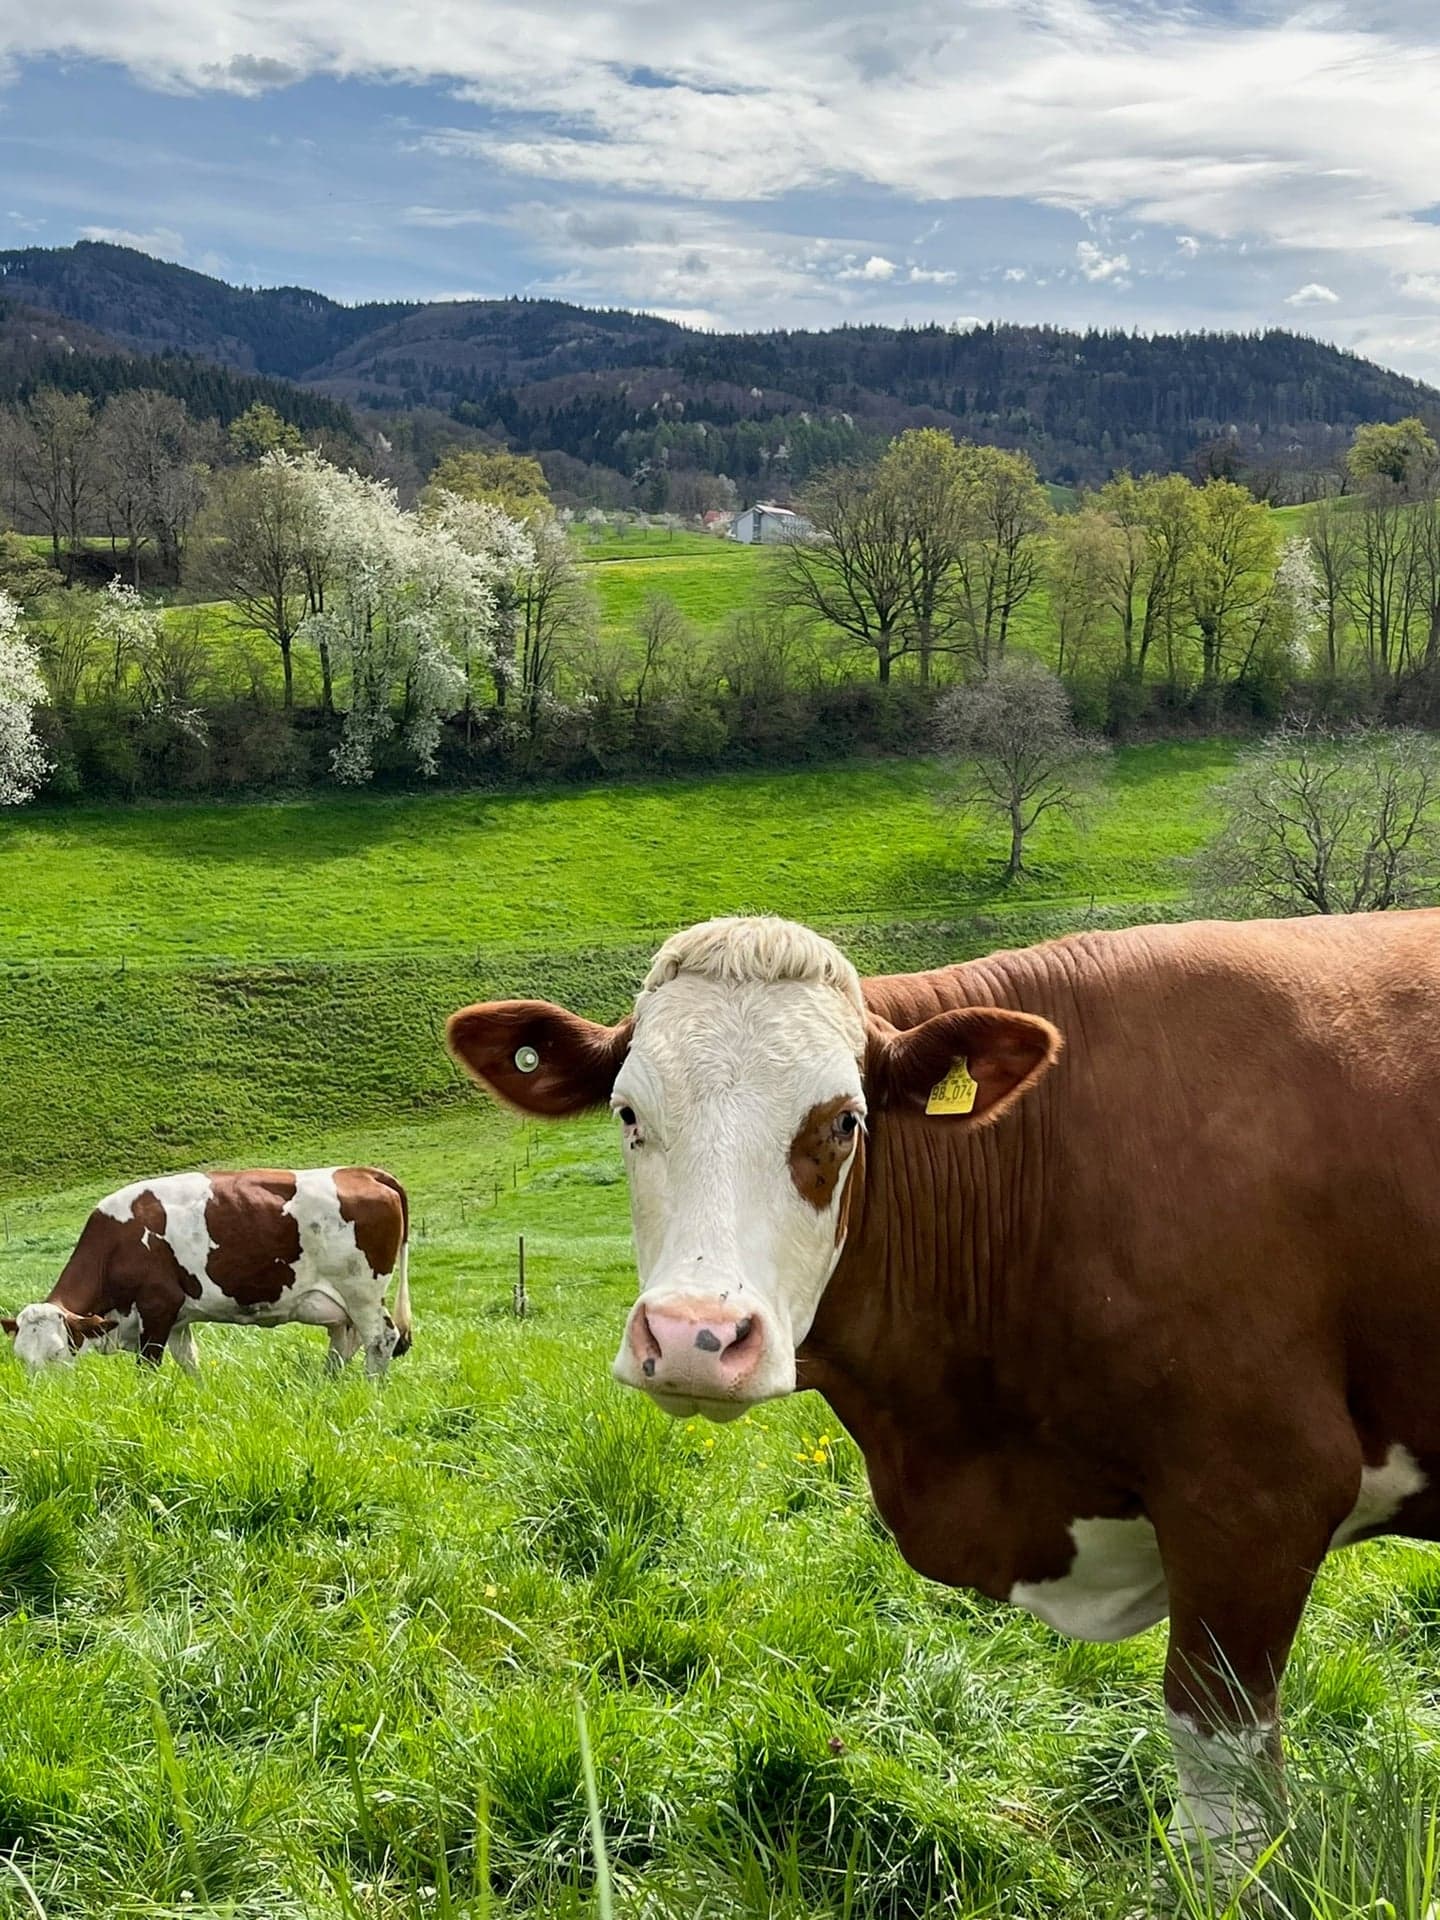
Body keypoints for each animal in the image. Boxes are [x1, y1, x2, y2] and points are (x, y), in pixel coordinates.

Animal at [5, 1167, 412, 1375]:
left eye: (57, 1352)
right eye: (21, 1358)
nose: (45, 1402)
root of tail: (361, 1172)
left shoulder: (157, 1308)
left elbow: (147, 1369)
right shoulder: (177, 1318)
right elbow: (190, 1363)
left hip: (361, 1292)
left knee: (381, 1340)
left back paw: (372, 1392)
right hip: (342, 1305)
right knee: (347, 1342)